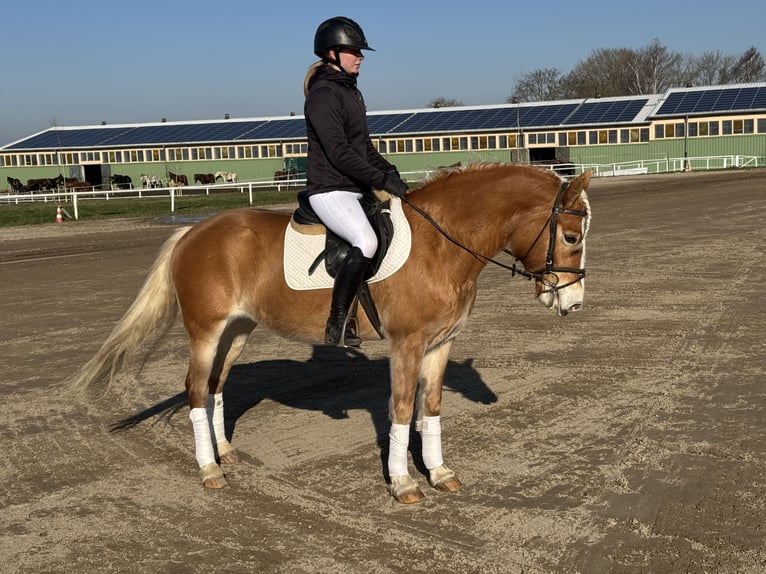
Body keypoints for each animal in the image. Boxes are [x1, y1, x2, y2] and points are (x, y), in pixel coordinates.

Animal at [72, 164, 592, 506]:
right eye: (571, 236)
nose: (573, 302)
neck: (441, 244)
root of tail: (192, 233)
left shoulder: (441, 345)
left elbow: (431, 408)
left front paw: (440, 472)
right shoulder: (406, 344)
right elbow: (401, 409)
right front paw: (404, 484)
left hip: (236, 331)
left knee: (217, 387)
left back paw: (225, 453)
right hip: (204, 332)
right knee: (198, 390)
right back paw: (208, 470)